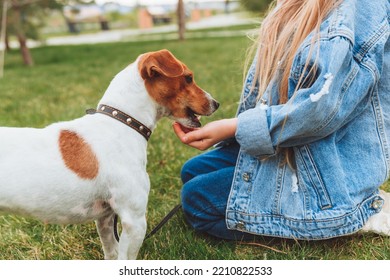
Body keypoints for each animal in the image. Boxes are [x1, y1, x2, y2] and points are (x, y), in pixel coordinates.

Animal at [0, 49, 219, 260]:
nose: (216, 103)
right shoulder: (134, 220)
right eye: (188, 78)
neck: (122, 122)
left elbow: (112, 253)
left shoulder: (105, 218)